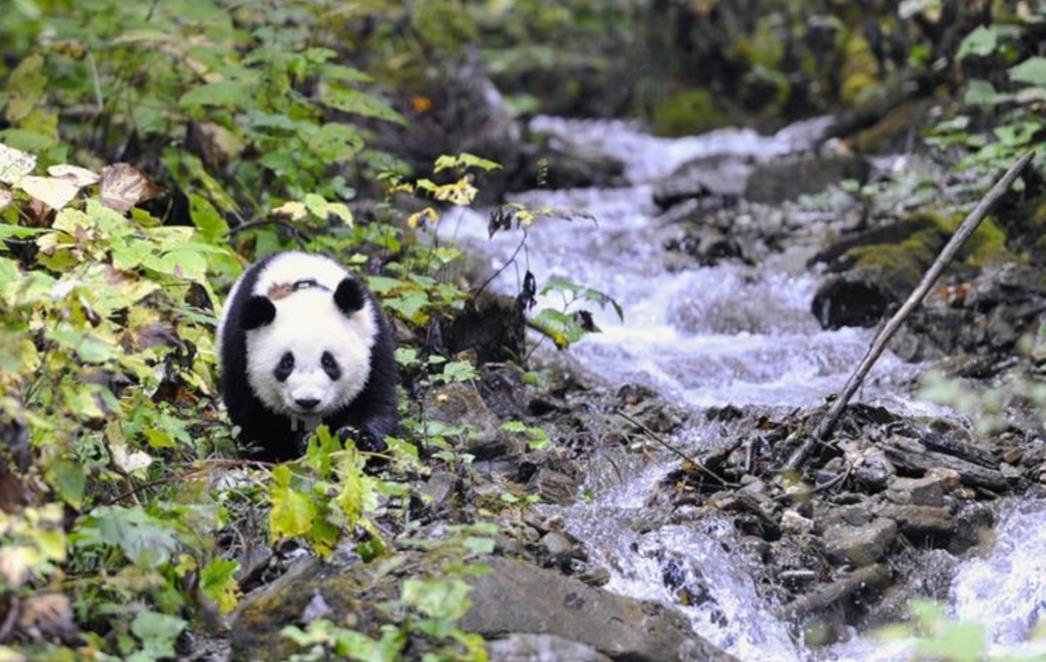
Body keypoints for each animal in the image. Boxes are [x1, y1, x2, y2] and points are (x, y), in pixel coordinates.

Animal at [216, 251, 397, 461]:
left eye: (328, 361)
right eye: (286, 363)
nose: (307, 401)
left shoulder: (374, 343)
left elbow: (377, 402)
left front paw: (359, 437)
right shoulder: (240, 352)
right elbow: (254, 418)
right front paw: (289, 449)